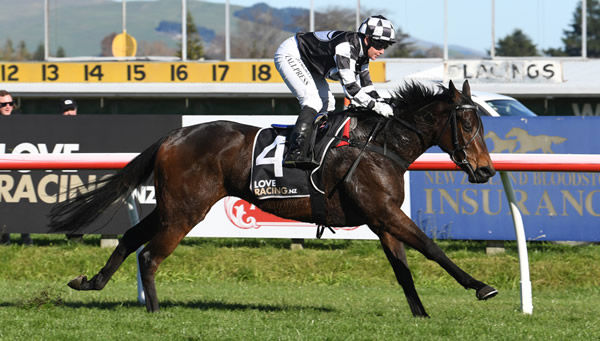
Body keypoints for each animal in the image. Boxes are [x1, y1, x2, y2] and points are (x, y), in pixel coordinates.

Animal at [49, 79, 496, 316]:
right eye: (467, 123)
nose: (487, 170)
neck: (379, 145)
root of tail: (174, 135)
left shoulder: (381, 218)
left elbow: (403, 268)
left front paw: (420, 313)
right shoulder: (385, 212)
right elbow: (432, 248)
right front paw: (481, 287)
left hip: (174, 205)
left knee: (130, 239)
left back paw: (91, 282)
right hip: (186, 209)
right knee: (149, 255)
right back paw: (155, 311)